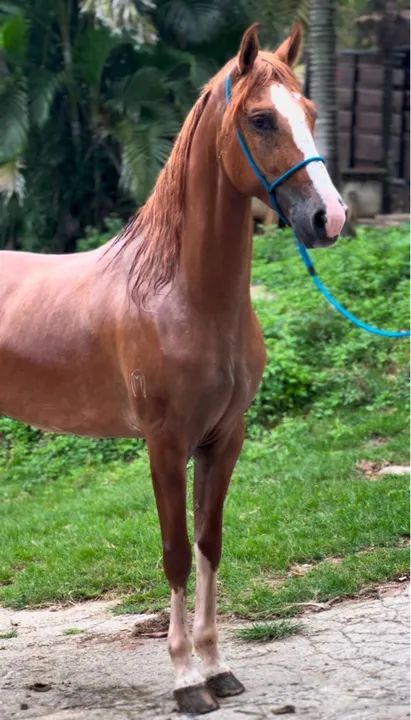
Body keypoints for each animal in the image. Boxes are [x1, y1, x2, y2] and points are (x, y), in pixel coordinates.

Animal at [0, 22, 346, 715]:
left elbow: (209, 543)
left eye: (312, 113)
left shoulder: (223, 439)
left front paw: (217, 668)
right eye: (261, 119)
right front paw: (187, 680)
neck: (178, 295)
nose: (331, 218)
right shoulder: (164, 444)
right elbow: (176, 554)